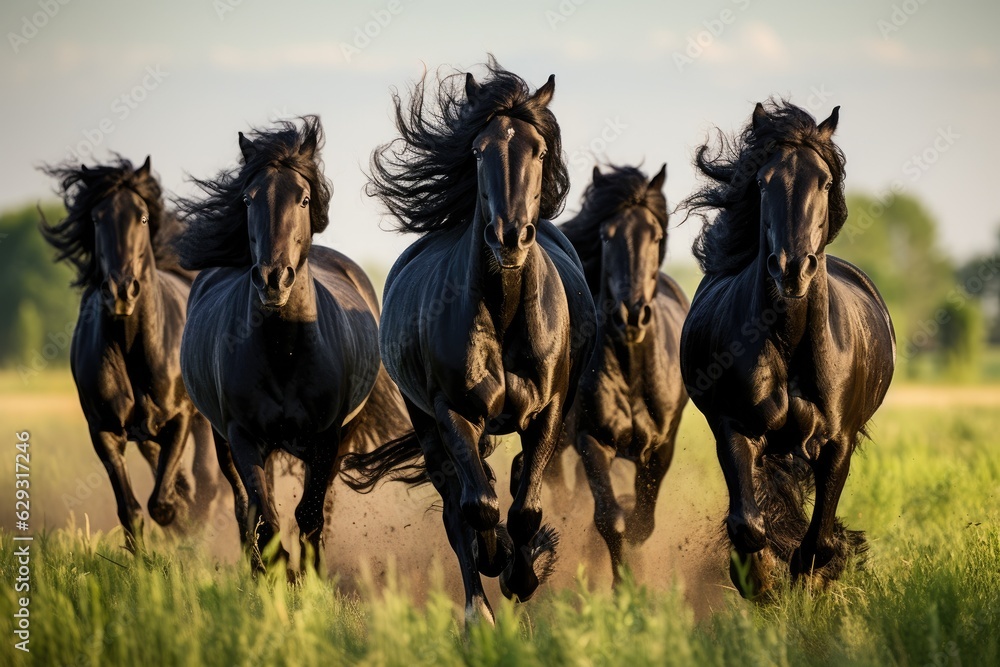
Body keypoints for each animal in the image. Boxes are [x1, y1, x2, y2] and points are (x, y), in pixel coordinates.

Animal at [40, 156, 220, 551]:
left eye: (142, 217)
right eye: (96, 218)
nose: (121, 290)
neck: (130, 346)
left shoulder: (179, 419)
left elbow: (163, 501)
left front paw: (184, 517)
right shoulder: (103, 430)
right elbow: (133, 510)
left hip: (202, 419)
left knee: (207, 478)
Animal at [176, 116, 412, 575]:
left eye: (303, 199)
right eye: (247, 199)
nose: (273, 279)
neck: (283, 352)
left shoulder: (326, 437)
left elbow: (310, 514)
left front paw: (310, 578)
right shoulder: (243, 435)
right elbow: (264, 517)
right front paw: (280, 574)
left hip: (339, 438)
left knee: (320, 506)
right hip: (224, 441)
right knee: (244, 508)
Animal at [343, 59, 597, 624]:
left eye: (539, 150)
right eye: (479, 151)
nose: (509, 237)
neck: (502, 318)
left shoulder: (549, 410)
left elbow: (526, 508)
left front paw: (524, 573)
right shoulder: (451, 411)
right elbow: (477, 507)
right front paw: (495, 561)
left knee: (513, 481)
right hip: (426, 423)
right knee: (459, 505)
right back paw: (478, 608)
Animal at [551, 163, 689, 585]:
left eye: (655, 235)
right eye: (605, 235)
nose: (631, 314)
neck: (631, 374)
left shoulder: (660, 448)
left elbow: (641, 521)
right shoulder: (591, 440)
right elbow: (609, 518)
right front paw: (622, 587)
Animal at [679, 100, 895, 598]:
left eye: (826, 181)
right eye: (763, 181)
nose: (793, 268)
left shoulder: (838, 442)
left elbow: (818, 543)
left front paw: (811, 584)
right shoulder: (734, 428)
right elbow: (748, 525)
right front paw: (761, 586)